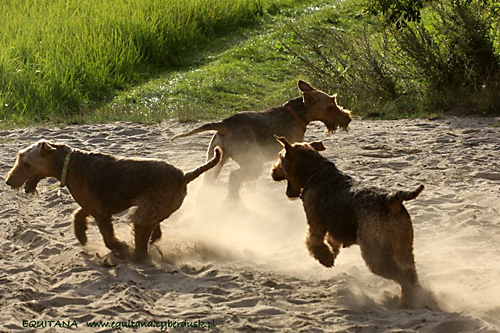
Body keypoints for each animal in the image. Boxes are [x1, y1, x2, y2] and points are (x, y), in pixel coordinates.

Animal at [5, 138, 221, 262]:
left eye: (26, 163)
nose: (8, 181)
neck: (69, 164)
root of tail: (184, 176)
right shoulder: (92, 206)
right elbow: (77, 215)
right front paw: (82, 236)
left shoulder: (100, 212)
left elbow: (108, 238)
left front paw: (120, 247)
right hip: (154, 208)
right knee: (155, 230)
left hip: (145, 212)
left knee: (142, 237)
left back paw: (135, 256)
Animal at [172, 80, 352, 197]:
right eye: (330, 107)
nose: (348, 118)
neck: (295, 113)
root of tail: (225, 124)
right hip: (252, 163)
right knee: (234, 177)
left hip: (216, 160)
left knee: (207, 184)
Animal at [272, 136, 424, 306]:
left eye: (280, 157)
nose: (272, 172)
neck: (316, 172)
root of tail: (391, 199)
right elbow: (331, 240)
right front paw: (333, 251)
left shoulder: (315, 223)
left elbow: (313, 242)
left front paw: (326, 259)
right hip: (404, 247)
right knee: (410, 272)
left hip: (376, 253)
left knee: (403, 275)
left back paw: (406, 301)